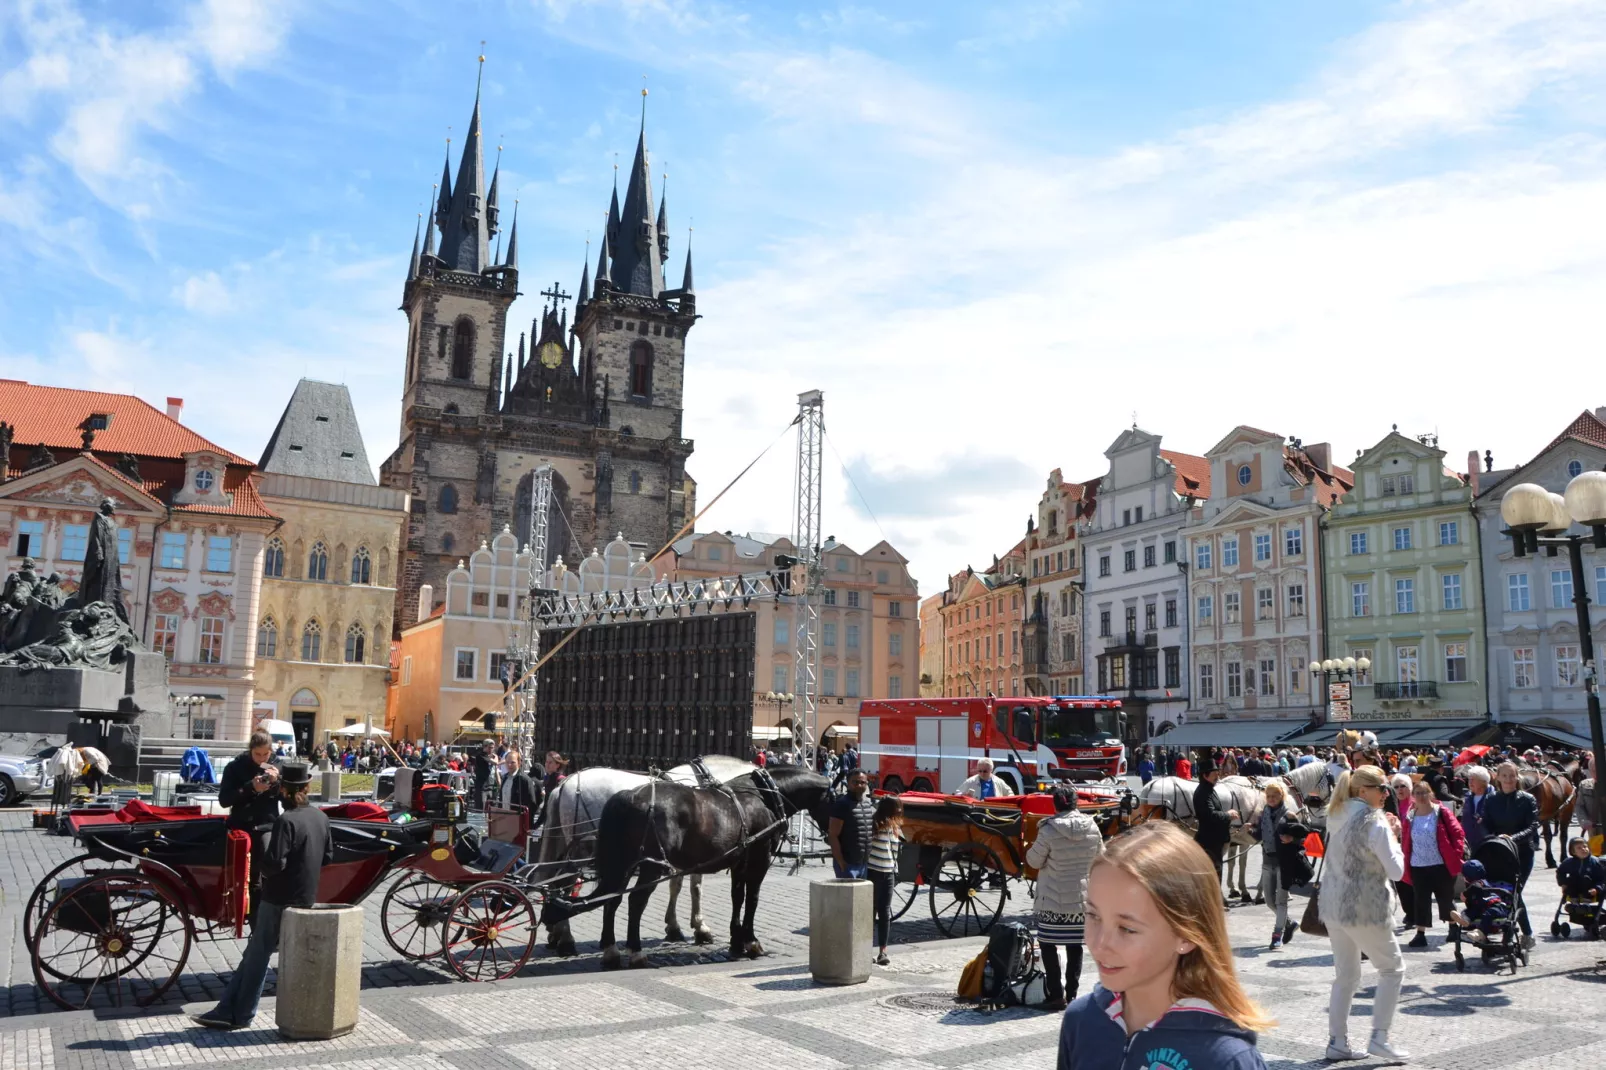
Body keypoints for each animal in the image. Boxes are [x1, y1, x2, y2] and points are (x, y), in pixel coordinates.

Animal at [536, 755, 754, 951]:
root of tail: (564, 784)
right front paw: (700, 928)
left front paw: (674, 926)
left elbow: (676, 886)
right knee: (566, 886)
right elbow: (695, 888)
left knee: (554, 882)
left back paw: (555, 932)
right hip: (581, 851)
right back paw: (566, 938)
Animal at [597, 758, 835, 963]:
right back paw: (636, 951)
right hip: (650, 866)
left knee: (612, 899)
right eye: (835, 801)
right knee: (636, 901)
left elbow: (737, 898)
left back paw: (611, 950)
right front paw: (751, 942)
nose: (831, 837)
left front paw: (736, 941)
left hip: (622, 864)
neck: (765, 797)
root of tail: (629, 795)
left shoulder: (740, 862)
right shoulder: (759, 860)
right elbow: (753, 899)